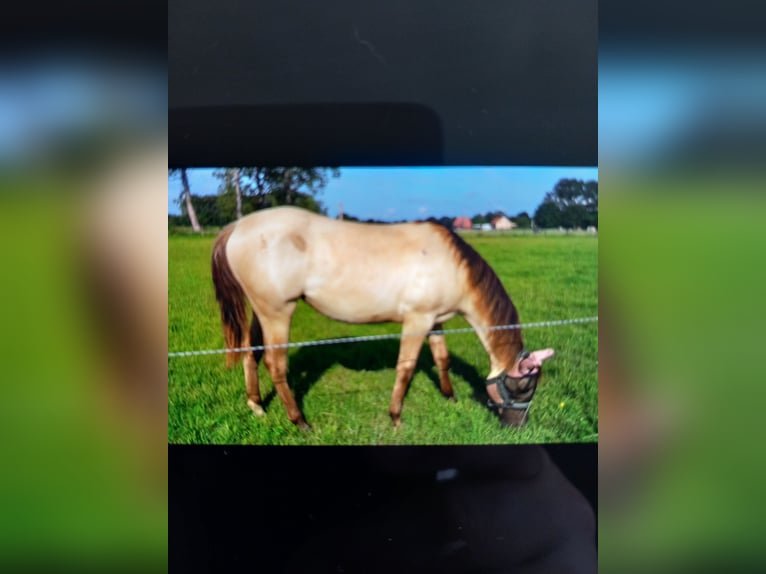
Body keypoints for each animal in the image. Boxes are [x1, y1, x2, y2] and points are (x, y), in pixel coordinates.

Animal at [211, 206, 554, 429]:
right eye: (525, 387)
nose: (520, 426)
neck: (454, 265)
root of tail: (237, 227)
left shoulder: (435, 321)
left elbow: (441, 359)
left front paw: (450, 397)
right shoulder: (417, 321)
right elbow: (406, 368)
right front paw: (396, 416)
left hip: (261, 311)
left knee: (251, 354)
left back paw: (257, 405)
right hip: (278, 312)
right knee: (275, 364)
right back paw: (299, 421)